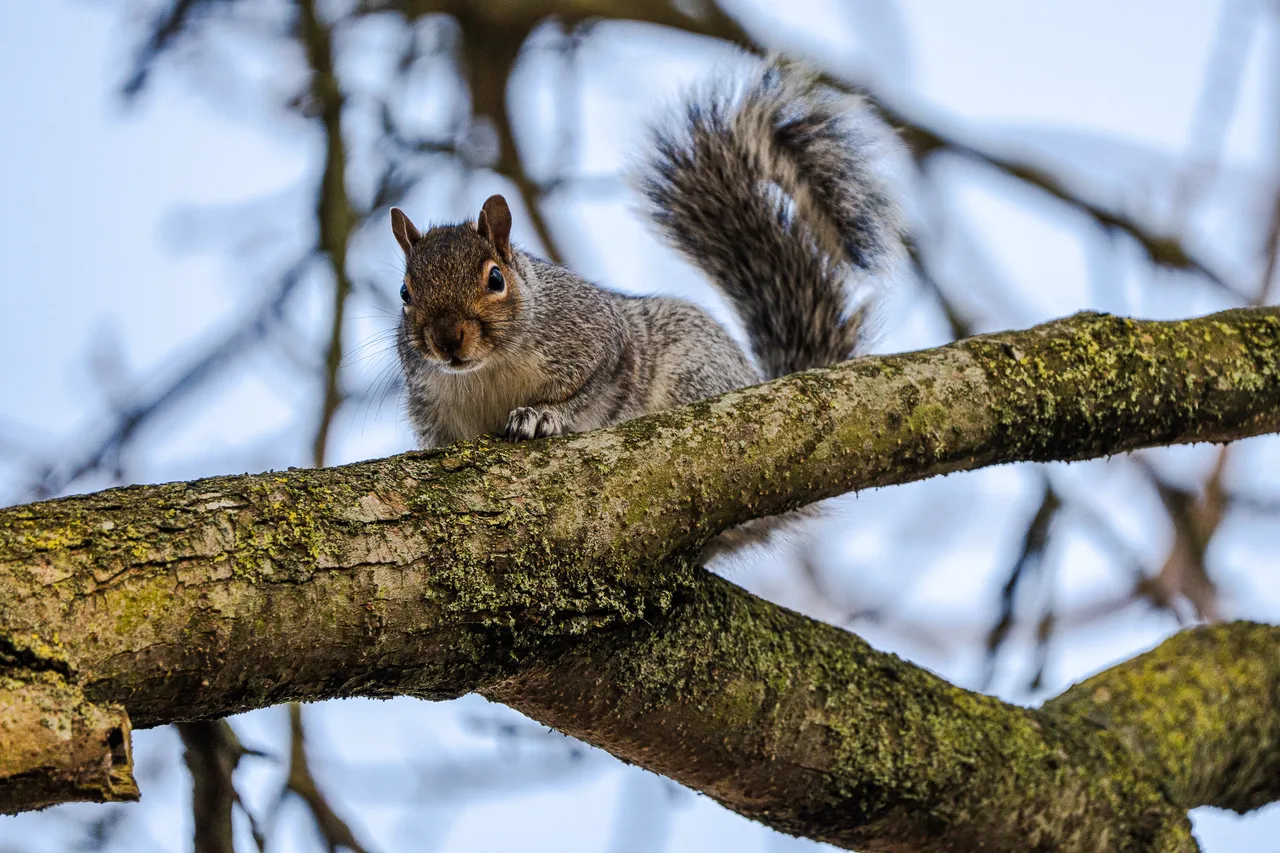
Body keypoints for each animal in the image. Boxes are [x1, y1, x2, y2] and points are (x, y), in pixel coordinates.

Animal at [389, 55, 901, 455]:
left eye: (496, 279)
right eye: (405, 293)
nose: (446, 339)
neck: (487, 371)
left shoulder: (601, 343)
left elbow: (590, 393)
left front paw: (542, 415)